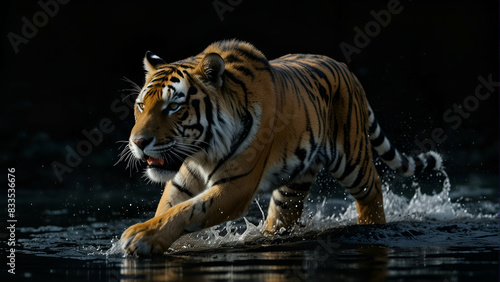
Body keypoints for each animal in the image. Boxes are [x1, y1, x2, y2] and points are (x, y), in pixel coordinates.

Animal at [120, 38, 442, 254]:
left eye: (174, 106)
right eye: (141, 105)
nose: (138, 142)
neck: (202, 153)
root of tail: (344, 67)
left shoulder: (235, 186)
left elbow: (188, 210)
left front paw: (139, 237)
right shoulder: (182, 181)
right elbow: (170, 209)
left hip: (352, 159)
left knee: (372, 188)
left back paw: (370, 227)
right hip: (293, 186)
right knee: (284, 214)